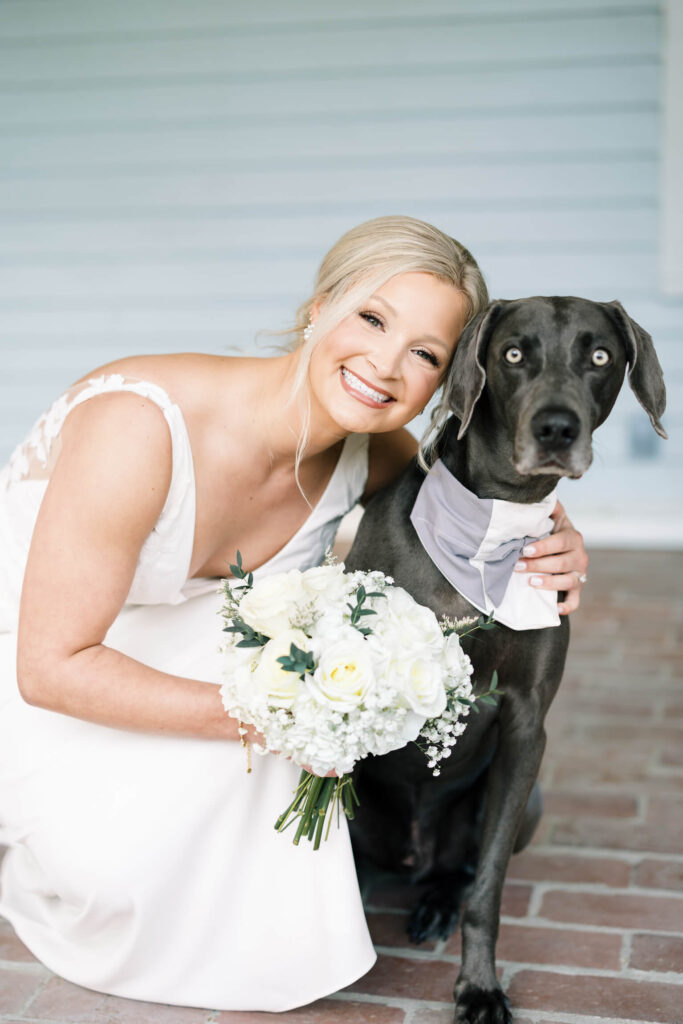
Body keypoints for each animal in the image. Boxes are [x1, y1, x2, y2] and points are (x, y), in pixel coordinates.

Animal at [348, 296, 667, 1024]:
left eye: (600, 356)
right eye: (514, 354)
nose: (556, 428)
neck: (493, 521)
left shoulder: (526, 727)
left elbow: (488, 887)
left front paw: (479, 988)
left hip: (528, 802)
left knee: (455, 871)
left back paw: (435, 902)